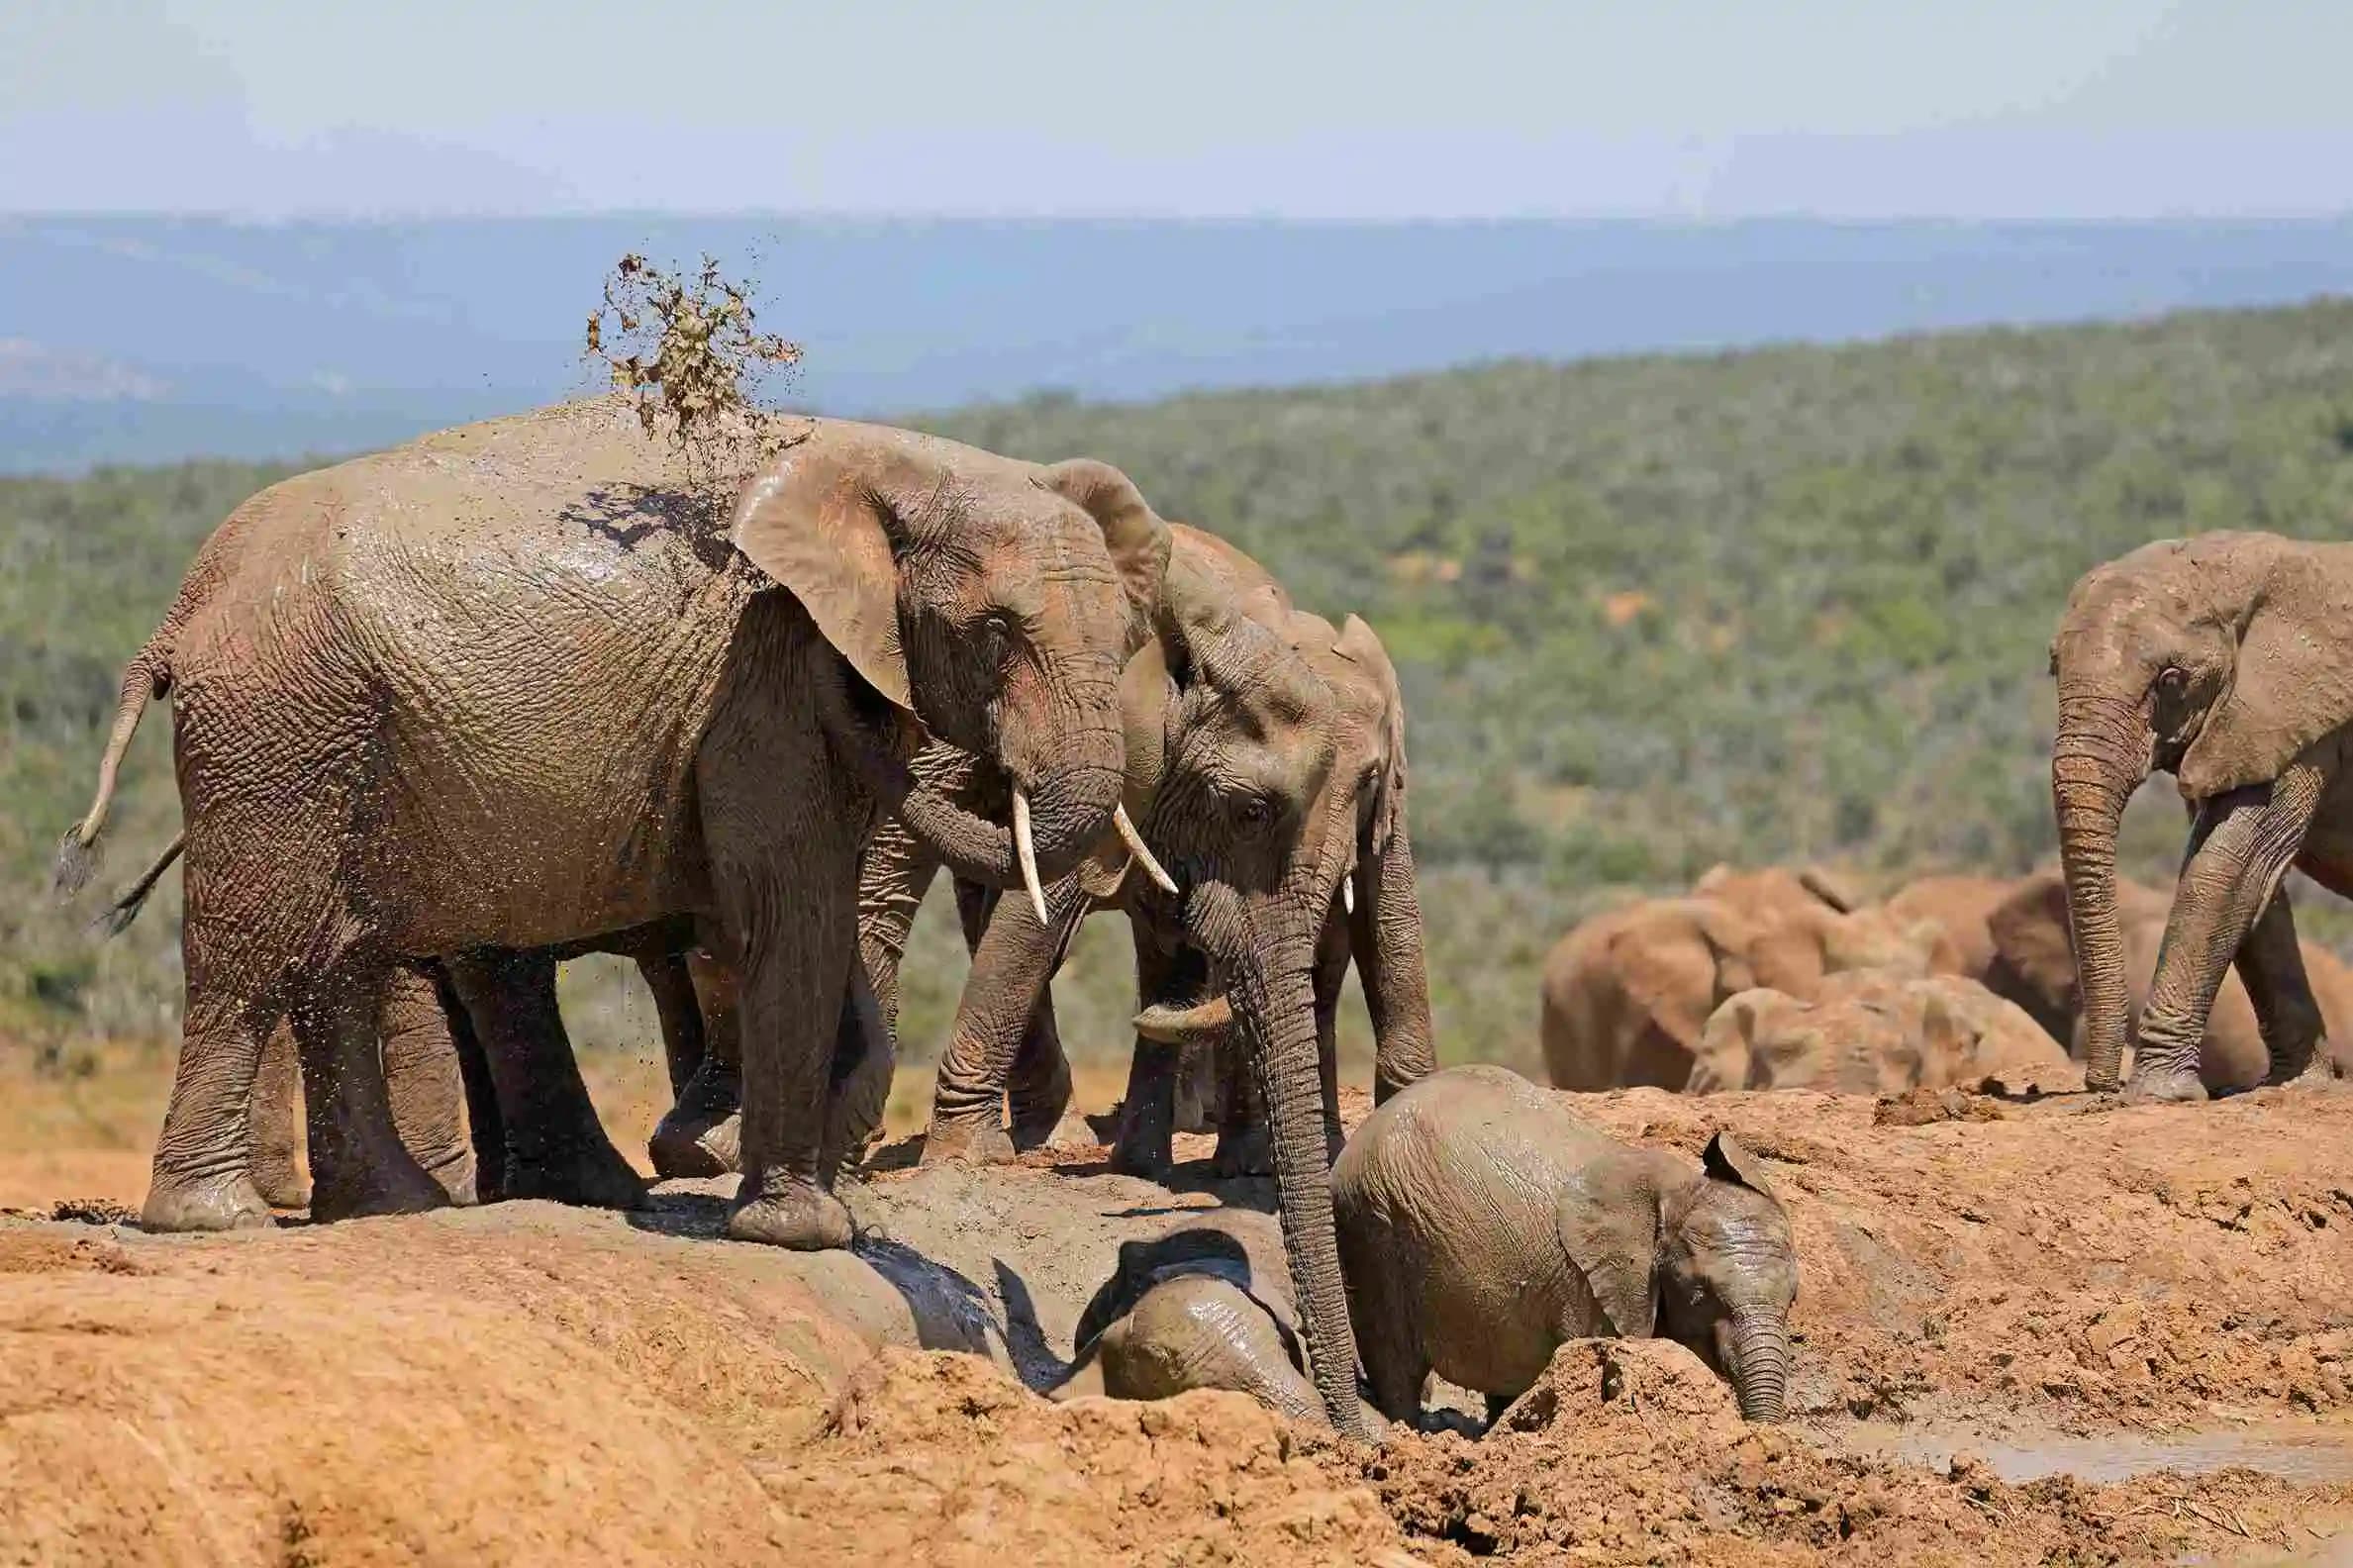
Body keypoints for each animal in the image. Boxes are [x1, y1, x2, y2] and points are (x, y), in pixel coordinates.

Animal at [55, 398, 1165, 1251]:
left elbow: (822, 918)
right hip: (281, 726)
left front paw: (816, 1202)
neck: (914, 467)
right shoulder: (766, 676)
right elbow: (791, 908)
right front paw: (798, 1232)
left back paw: (393, 1207)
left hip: (333, 736)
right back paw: (215, 1219)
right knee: (254, 950)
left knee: (337, 955)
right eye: (996, 633)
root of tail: (183, 609)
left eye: (1125, 638)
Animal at [1332, 1064, 1797, 1424]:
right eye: (1700, 1293)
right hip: (1373, 1225)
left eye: (1792, 1299)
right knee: (1396, 1365)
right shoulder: (1588, 1289)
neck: (1674, 1190)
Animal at [2047, 531, 2353, 1100]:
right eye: (2054, 666)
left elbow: (2228, 865)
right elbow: (2252, 880)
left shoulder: (2301, 713)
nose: (2101, 1089)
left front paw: (2158, 1094)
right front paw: (2297, 1085)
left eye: (2170, 680)